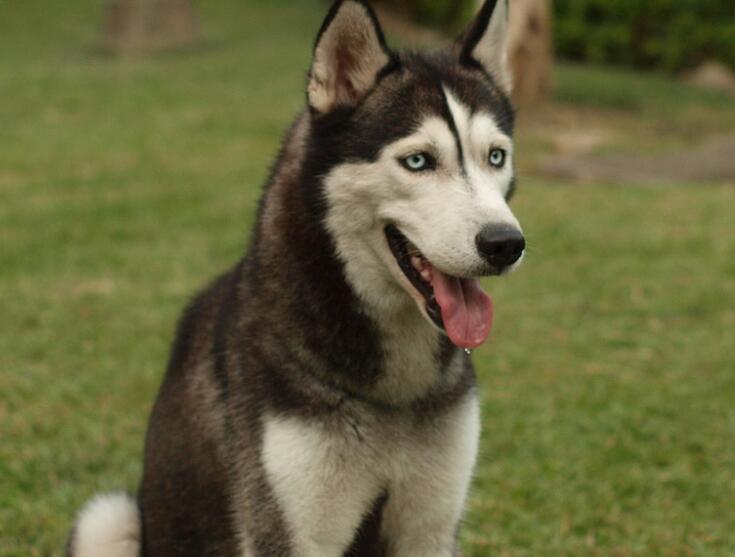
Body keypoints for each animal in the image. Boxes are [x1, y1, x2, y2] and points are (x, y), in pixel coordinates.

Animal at [67, 0, 525, 555]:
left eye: (495, 156)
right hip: (107, 518)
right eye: (418, 161)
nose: (505, 243)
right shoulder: (288, 530)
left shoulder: (429, 528)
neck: (393, 393)